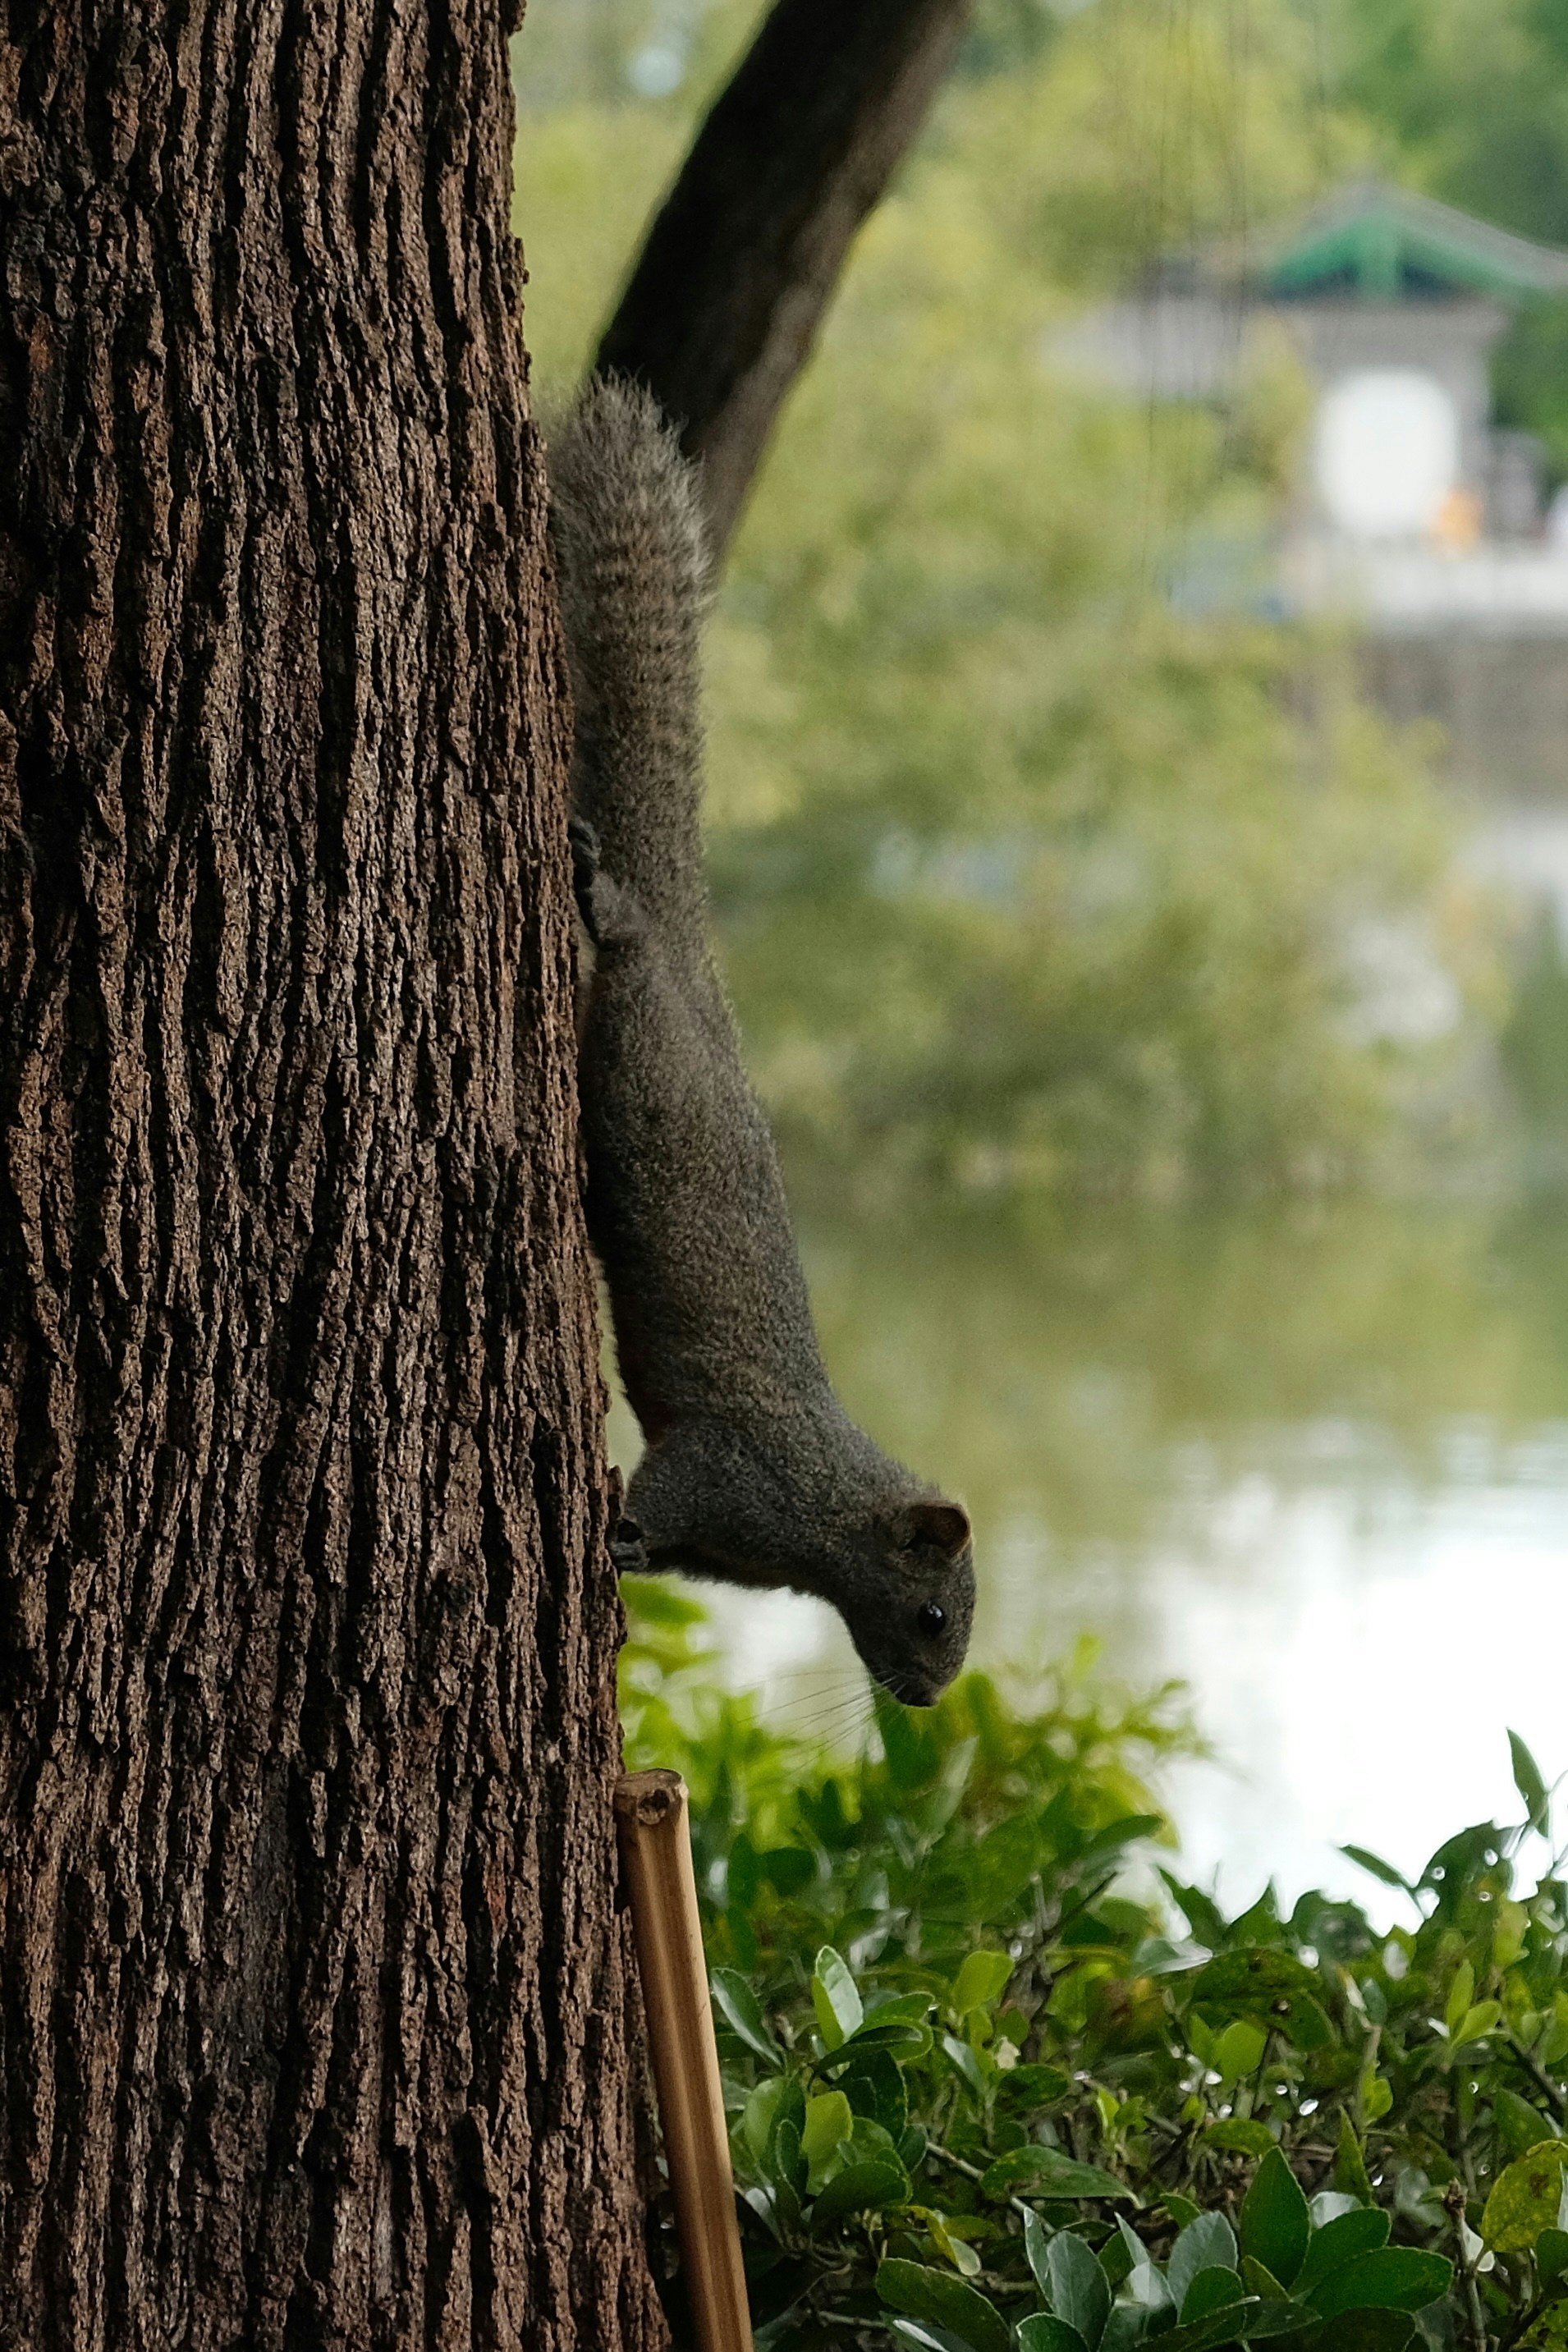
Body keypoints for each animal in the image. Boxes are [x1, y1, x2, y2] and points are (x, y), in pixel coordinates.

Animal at [547, 377, 974, 1708]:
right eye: (934, 1611)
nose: (925, 1698)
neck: (823, 1523)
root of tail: (698, 959)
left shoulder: (724, 1540)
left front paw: (627, 1552)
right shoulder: (733, 1473)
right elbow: (670, 1484)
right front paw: (616, 1530)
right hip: (641, 1028)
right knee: (625, 938)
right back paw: (603, 892)